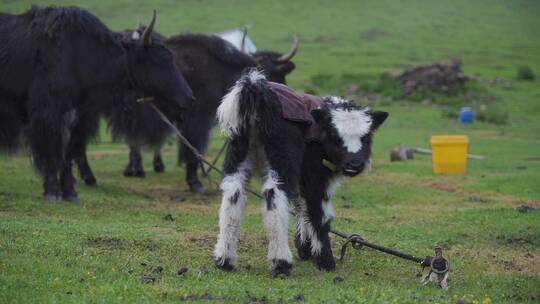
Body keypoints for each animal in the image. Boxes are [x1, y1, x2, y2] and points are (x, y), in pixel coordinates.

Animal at [213, 70, 386, 274]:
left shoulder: (303, 179)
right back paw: (281, 262)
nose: (355, 164)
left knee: (233, 194)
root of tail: (257, 90)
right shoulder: (315, 177)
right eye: (335, 136)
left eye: (366, 137)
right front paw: (324, 260)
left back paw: (225, 259)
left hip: (239, 153)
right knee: (274, 194)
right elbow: (318, 214)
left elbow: (301, 208)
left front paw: (305, 249)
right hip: (283, 156)